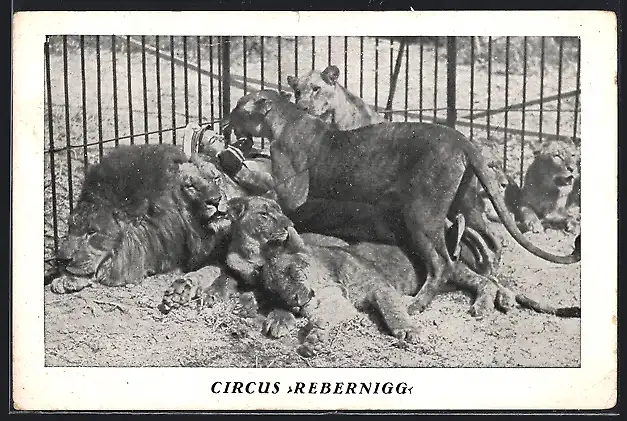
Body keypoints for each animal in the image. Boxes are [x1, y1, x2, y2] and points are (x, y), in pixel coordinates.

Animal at [223, 196, 581, 357]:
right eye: (275, 288)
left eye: (296, 271)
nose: (298, 301)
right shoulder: (334, 305)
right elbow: (309, 318)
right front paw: (299, 330)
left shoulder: (376, 289)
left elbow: (391, 309)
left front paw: (408, 329)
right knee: (486, 280)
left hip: (451, 268)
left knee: (486, 281)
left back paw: (489, 303)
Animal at [227, 90, 580, 316]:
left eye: (238, 107)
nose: (225, 122)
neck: (284, 120)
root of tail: (463, 140)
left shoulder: (292, 195)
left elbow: (267, 194)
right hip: (461, 208)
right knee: (491, 243)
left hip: (420, 215)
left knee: (442, 263)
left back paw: (417, 305)